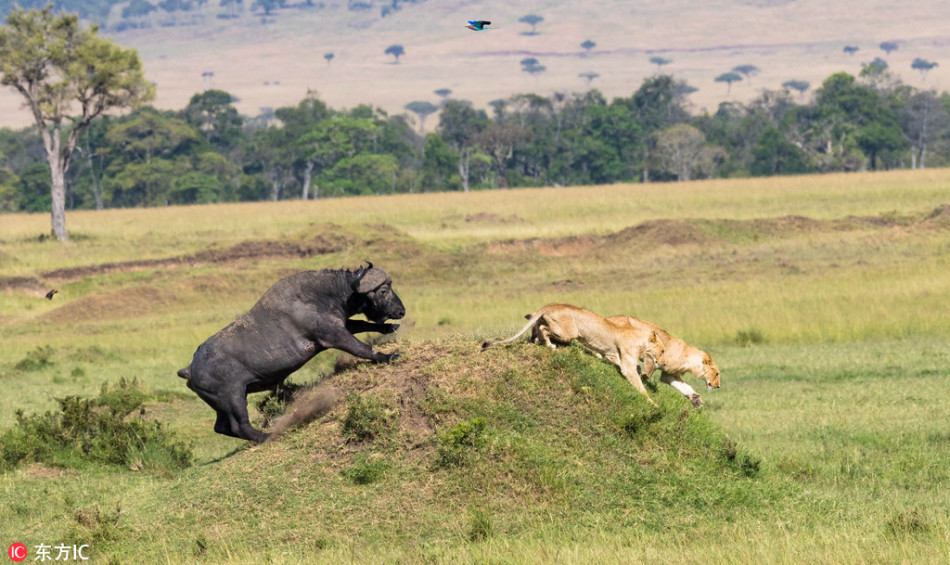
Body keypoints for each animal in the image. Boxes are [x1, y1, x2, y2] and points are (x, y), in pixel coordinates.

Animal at [178, 262, 406, 442]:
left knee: (222, 427)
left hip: (222, 405)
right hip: (234, 398)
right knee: (239, 426)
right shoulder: (334, 335)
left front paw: (389, 328)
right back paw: (267, 436)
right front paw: (388, 356)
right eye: (384, 291)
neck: (323, 294)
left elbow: (362, 324)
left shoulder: (341, 325)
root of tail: (190, 368)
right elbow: (363, 348)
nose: (401, 311)